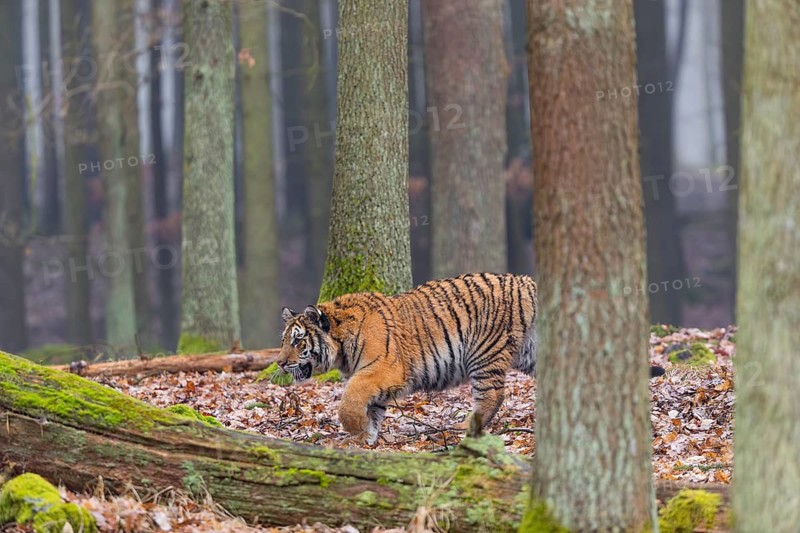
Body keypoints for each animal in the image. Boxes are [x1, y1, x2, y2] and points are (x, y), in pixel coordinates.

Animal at [277, 272, 539, 444]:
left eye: (298, 341)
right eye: (283, 340)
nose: (280, 363)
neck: (341, 346)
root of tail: (527, 282)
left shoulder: (384, 368)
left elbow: (350, 399)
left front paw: (356, 430)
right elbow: (372, 408)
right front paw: (366, 436)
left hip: (483, 352)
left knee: (492, 394)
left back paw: (463, 427)